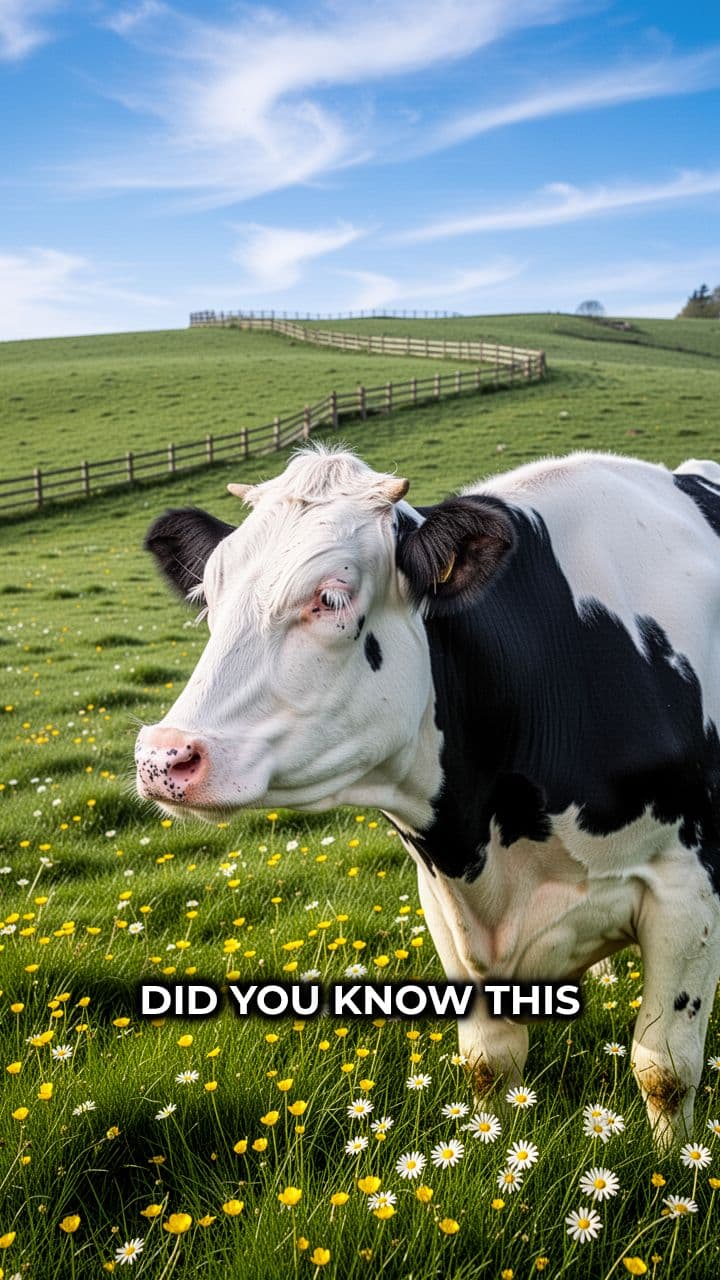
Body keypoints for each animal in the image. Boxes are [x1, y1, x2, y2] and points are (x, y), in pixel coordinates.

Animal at [135, 446, 720, 1147]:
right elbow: (489, 1062)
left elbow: (665, 1070)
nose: (164, 756)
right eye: (209, 595)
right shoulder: (444, 902)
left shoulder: (687, 891)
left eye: (331, 597)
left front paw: (672, 1167)